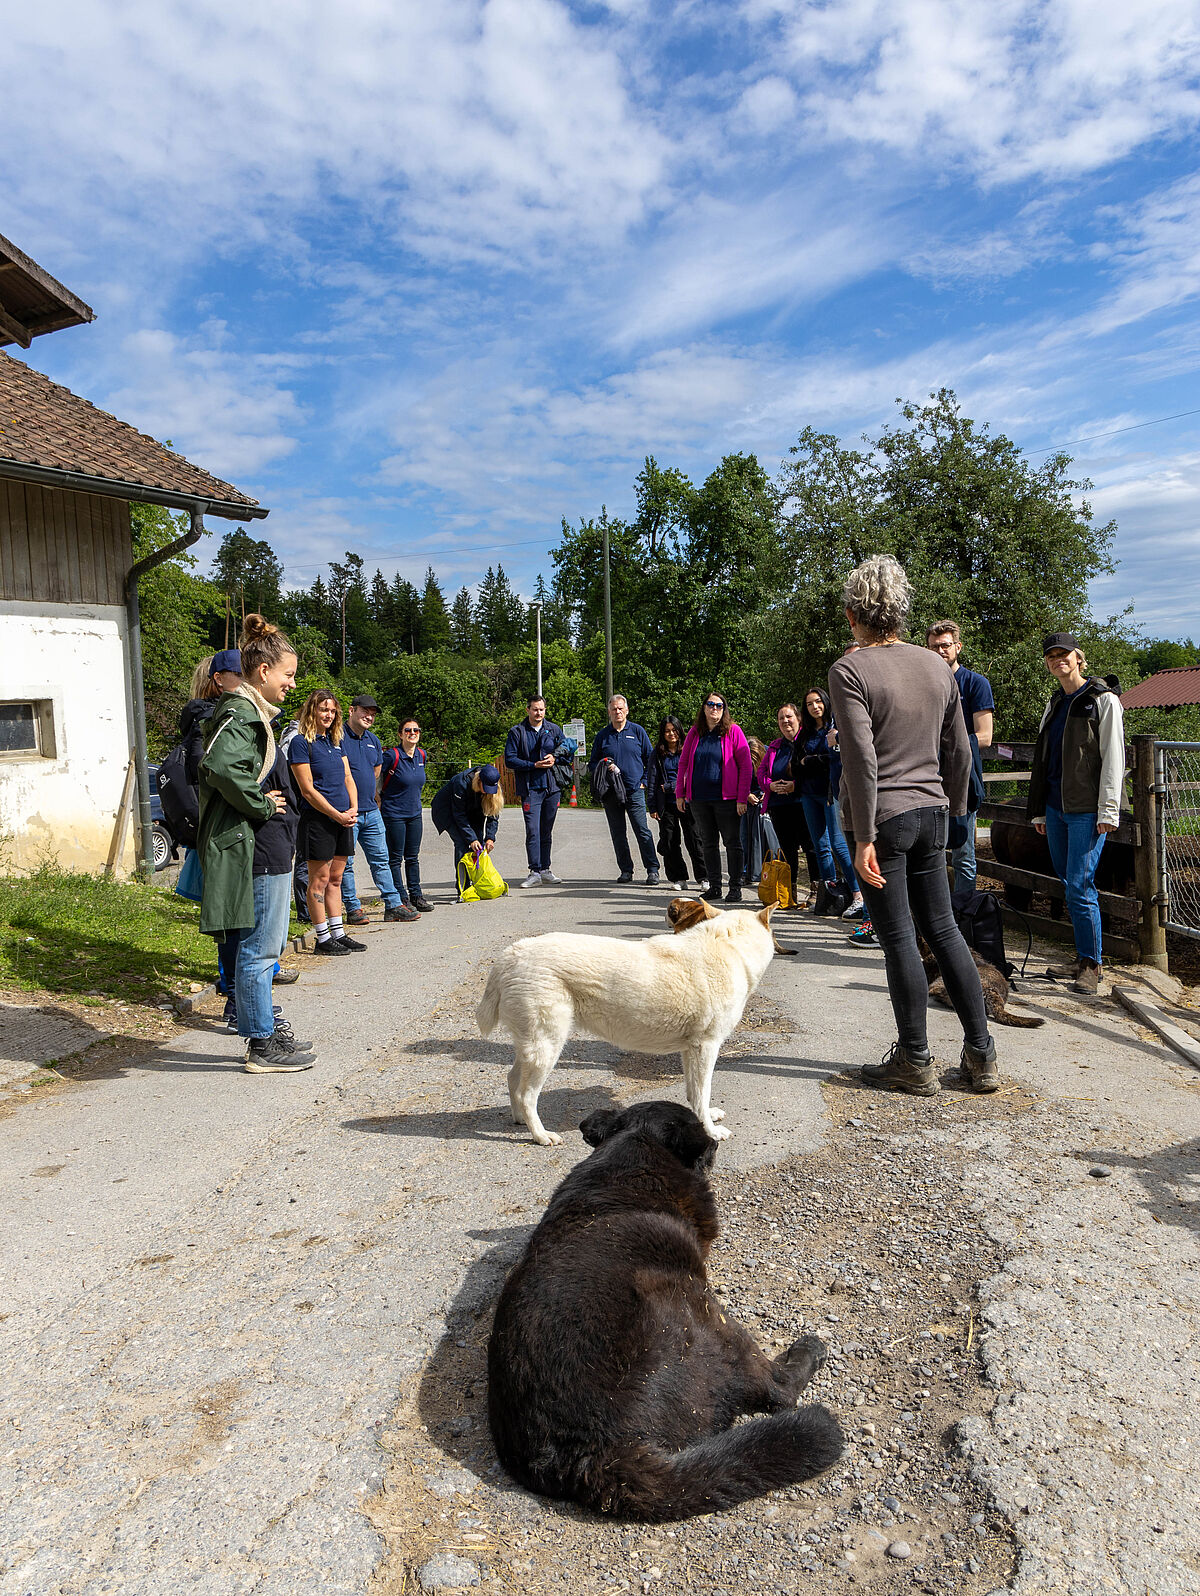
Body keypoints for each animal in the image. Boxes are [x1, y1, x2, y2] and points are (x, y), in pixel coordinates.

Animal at [478, 900, 778, 1149]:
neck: (731, 948)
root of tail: (510, 955)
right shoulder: (706, 1046)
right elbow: (703, 1093)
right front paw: (710, 1130)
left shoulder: (691, 1049)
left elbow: (694, 1094)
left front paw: (705, 1116)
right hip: (547, 1047)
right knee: (527, 1094)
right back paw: (540, 1135)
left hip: (532, 1046)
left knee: (513, 1080)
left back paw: (519, 1120)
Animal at [488, 1098, 842, 1519]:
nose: (714, 1148)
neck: (635, 1148)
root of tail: (594, 1453)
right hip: (703, 1313)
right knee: (778, 1390)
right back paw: (809, 1351)